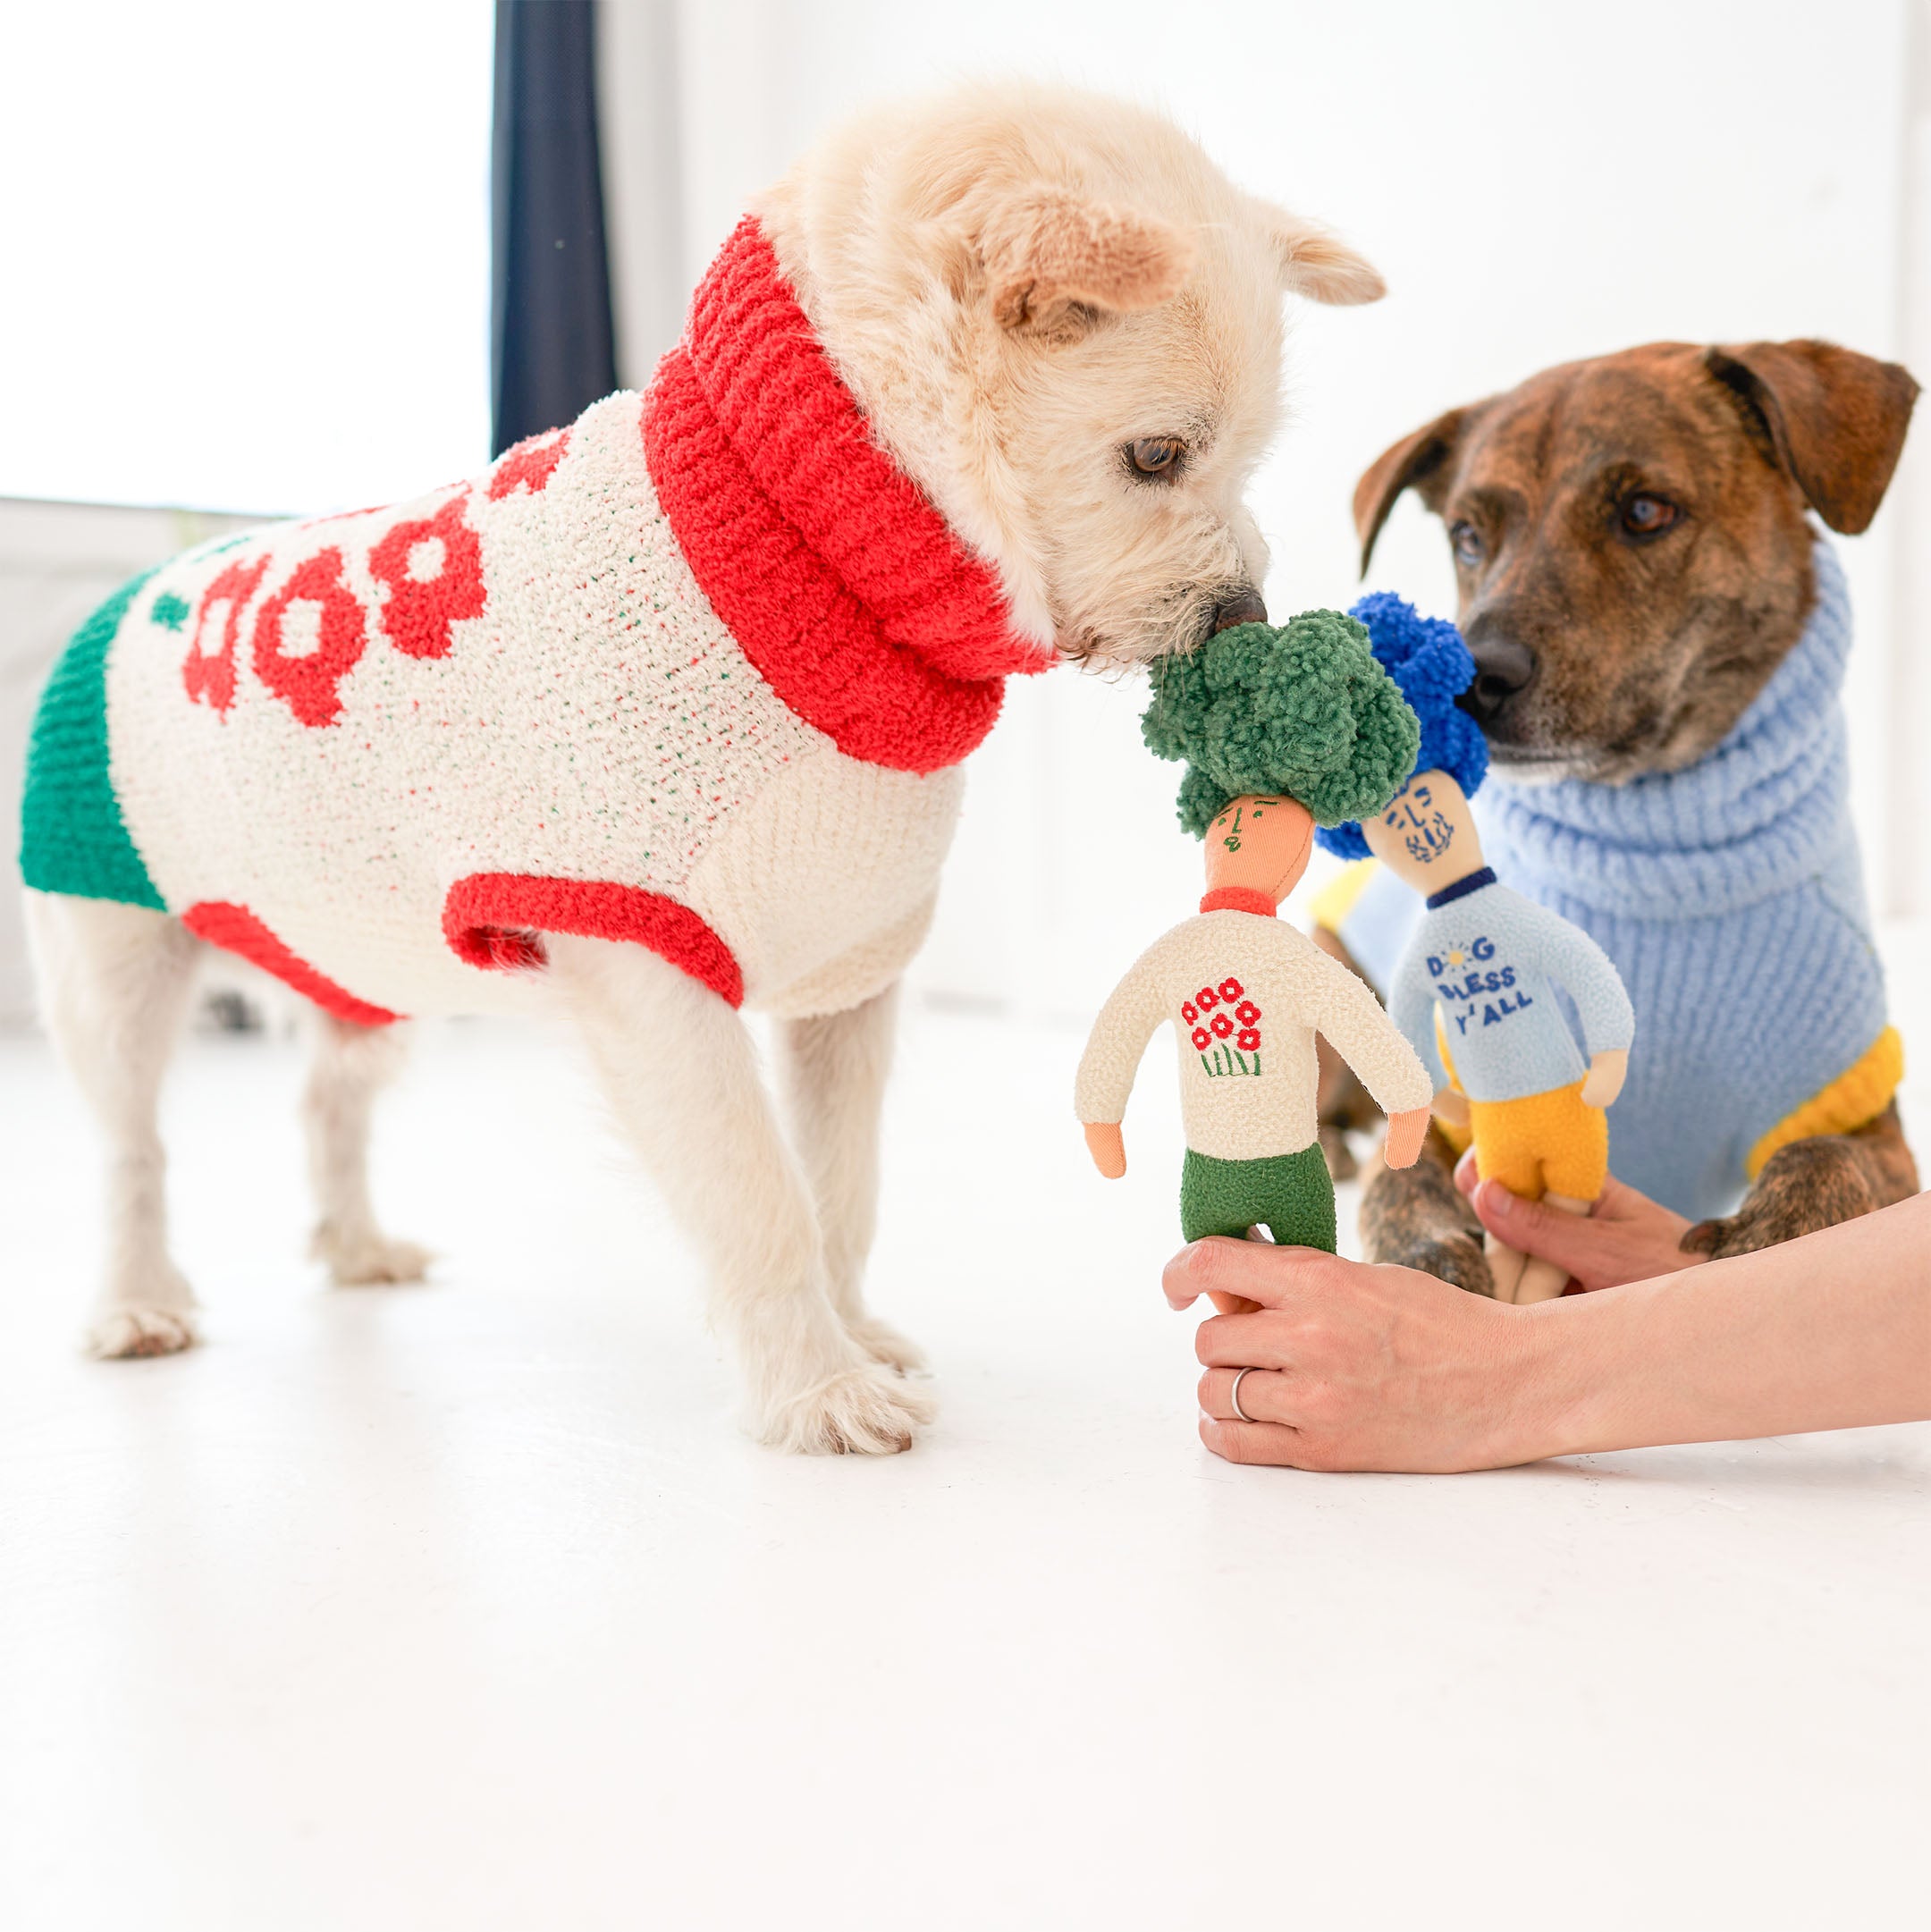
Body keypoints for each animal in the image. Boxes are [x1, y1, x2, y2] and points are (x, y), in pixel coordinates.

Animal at [22, 82, 1382, 1453]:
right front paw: (820, 1389)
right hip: (116, 960)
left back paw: (353, 1247)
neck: (804, 541)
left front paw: (854, 1336)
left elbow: (841, 1184)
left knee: (325, 1099)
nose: (1243, 614)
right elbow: (758, 1193)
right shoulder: (647, 969)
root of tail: (129, 593)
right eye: (1154, 456)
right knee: (130, 1146)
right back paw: (136, 1302)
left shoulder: (850, 980)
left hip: (360, 958)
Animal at [1320, 340, 1923, 1290]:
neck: (1655, 850)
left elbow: (1829, 1156)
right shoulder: (1460, 1098)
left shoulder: (1863, 1114)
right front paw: (1428, 1260)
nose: (1474, 676)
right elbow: (1403, 1175)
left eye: (1645, 511)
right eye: (1466, 536)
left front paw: (1773, 1231)